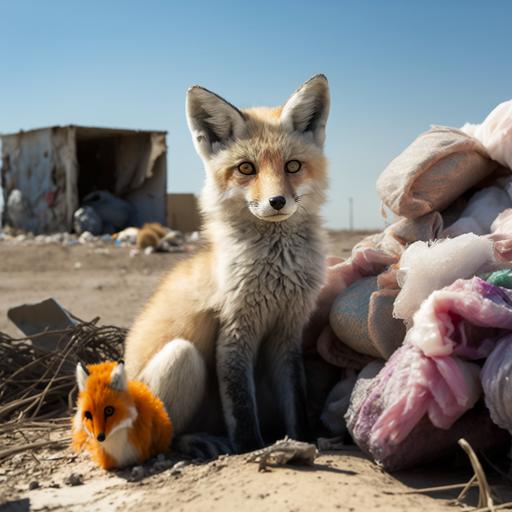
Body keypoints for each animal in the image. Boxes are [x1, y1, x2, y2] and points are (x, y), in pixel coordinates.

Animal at [126, 73, 330, 456]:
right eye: (246, 168)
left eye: (292, 166)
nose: (277, 201)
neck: (275, 272)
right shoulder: (235, 332)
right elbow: (241, 406)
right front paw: (251, 450)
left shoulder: (287, 333)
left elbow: (297, 404)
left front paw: (303, 441)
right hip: (182, 359)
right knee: (156, 442)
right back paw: (195, 442)